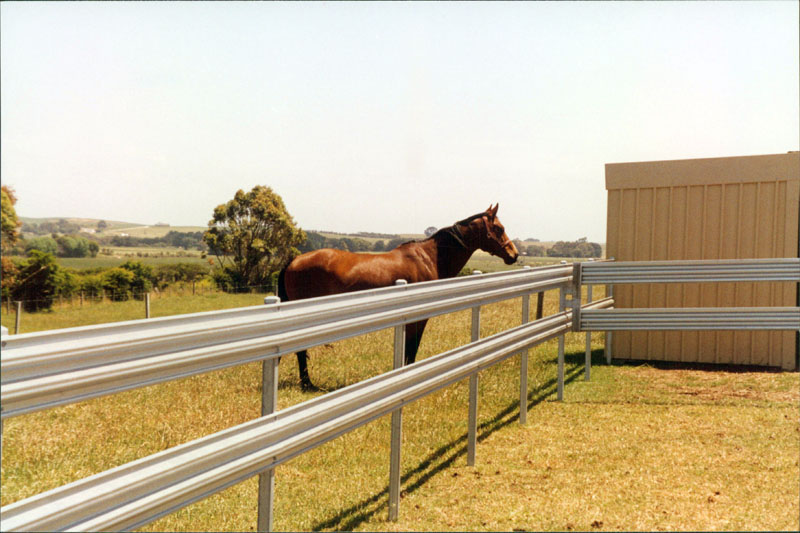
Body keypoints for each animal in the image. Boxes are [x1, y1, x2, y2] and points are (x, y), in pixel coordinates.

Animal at [277, 204, 519, 390]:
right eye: (499, 228)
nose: (514, 254)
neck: (430, 258)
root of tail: (294, 260)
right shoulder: (418, 318)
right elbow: (411, 349)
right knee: (301, 351)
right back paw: (307, 384)